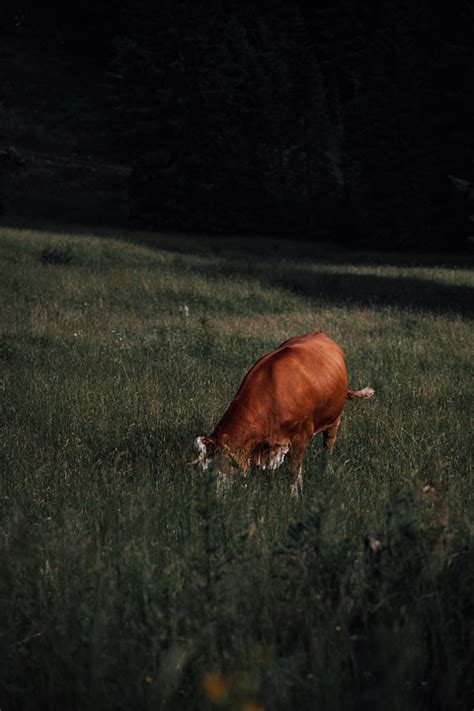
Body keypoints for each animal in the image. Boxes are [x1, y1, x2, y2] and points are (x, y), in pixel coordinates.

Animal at [193, 332, 374, 496]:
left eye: (225, 465)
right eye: (205, 469)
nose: (215, 499)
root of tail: (322, 334)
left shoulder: (301, 435)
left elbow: (293, 471)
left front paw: (294, 497)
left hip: (334, 419)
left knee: (327, 449)